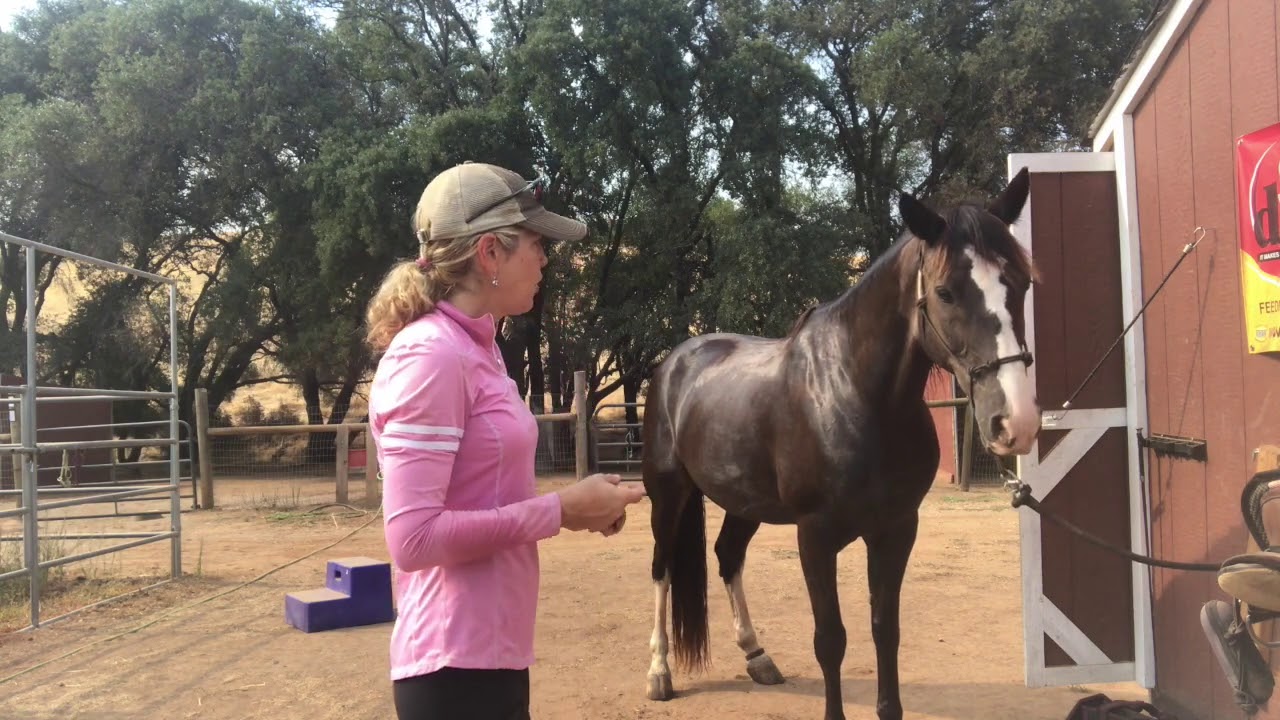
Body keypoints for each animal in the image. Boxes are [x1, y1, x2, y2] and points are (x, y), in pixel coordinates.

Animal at [640, 168, 1040, 720]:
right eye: (945, 292)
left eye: (1021, 283)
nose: (1014, 422)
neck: (853, 393)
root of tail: (673, 363)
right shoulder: (815, 536)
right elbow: (830, 639)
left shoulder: (897, 530)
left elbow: (885, 630)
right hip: (668, 494)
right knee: (661, 569)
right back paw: (659, 671)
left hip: (745, 503)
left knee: (727, 556)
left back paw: (757, 656)